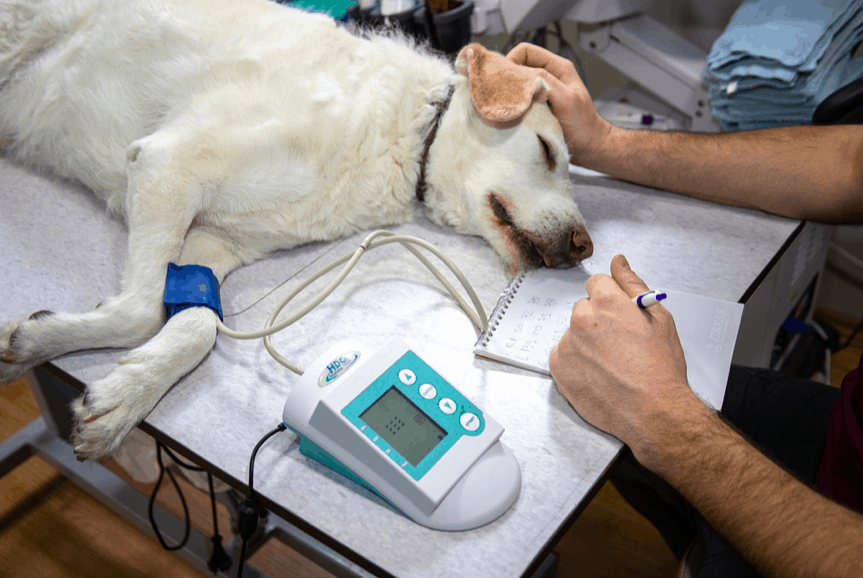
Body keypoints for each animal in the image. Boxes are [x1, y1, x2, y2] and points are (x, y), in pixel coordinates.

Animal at [0, 0, 592, 460]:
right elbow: (142, 311)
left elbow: (198, 326)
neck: (406, 133)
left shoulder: (213, 242)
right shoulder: (168, 164)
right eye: (547, 150)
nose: (586, 248)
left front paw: (119, 391)